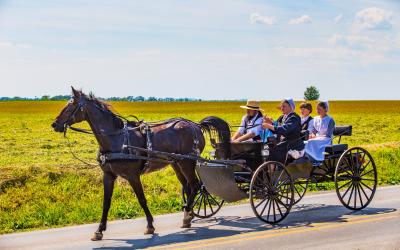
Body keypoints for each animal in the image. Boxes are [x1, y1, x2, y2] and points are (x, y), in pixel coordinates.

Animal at [51, 87, 230, 240]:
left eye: (71, 105)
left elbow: (142, 199)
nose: (54, 124)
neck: (116, 139)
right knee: (187, 186)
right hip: (176, 163)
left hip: (187, 162)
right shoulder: (108, 175)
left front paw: (150, 226)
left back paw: (187, 215)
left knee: (195, 185)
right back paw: (189, 214)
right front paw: (99, 230)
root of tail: (195, 125)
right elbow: (106, 203)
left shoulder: (133, 175)